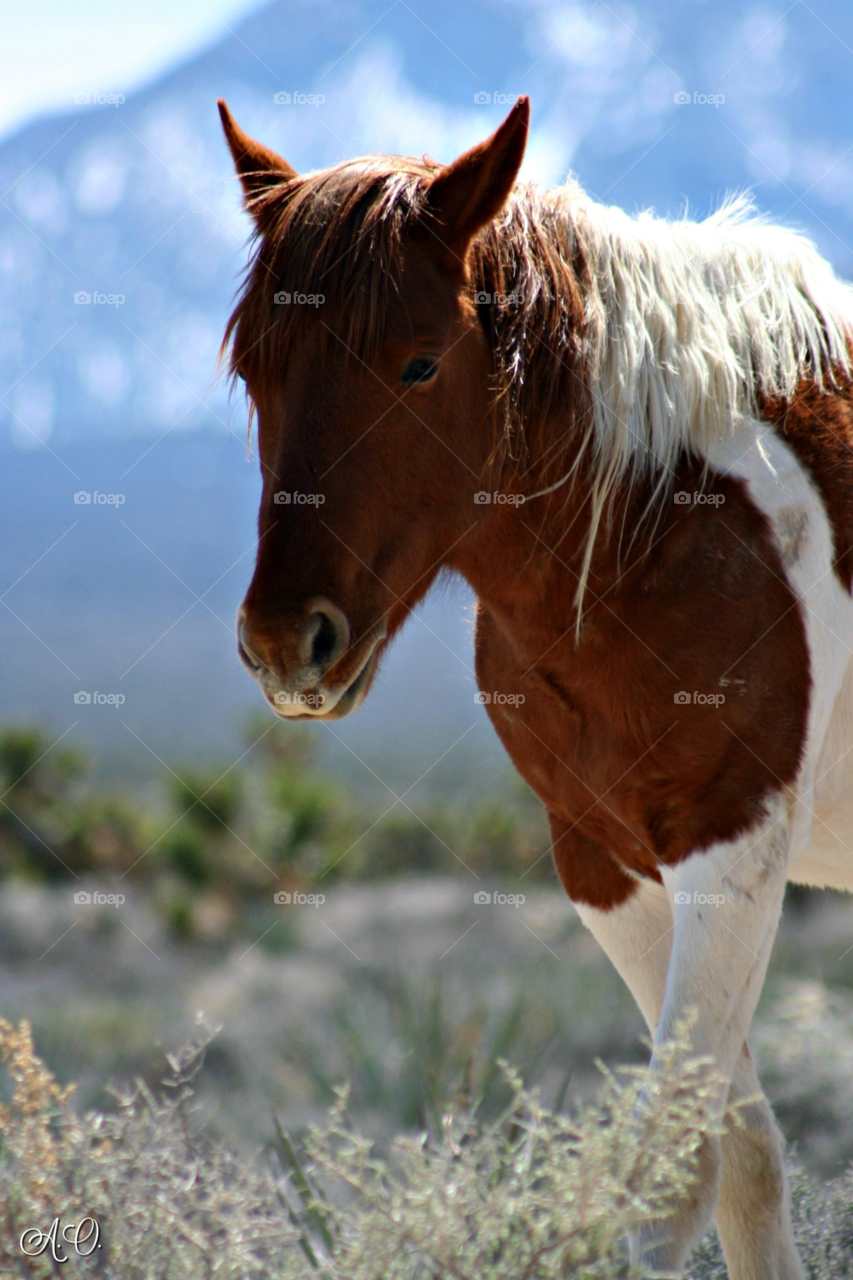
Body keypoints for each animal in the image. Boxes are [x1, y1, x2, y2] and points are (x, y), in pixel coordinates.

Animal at [217, 94, 850, 1274]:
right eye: (254, 371)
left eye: (420, 365)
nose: (287, 642)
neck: (655, 523)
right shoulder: (604, 861)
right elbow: (741, 1161)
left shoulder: (733, 845)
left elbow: (667, 1189)